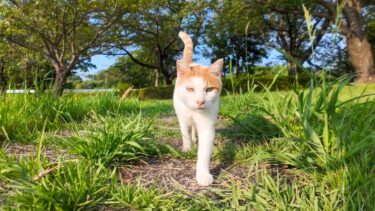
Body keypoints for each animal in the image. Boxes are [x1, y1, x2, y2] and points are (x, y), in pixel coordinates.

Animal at [174, 31, 223, 186]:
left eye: (209, 89)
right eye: (190, 89)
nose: (200, 101)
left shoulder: (207, 126)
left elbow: (204, 152)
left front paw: (202, 174)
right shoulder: (182, 119)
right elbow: (185, 134)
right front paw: (187, 148)